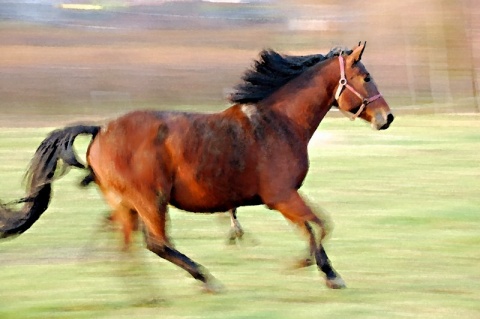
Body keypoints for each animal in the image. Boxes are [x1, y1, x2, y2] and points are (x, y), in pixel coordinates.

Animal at [0, 42, 394, 292]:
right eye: (366, 76)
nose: (386, 118)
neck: (277, 124)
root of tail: (101, 129)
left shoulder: (285, 198)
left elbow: (316, 226)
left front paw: (311, 265)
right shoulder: (282, 196)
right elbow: (319, 226)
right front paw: (323, 271)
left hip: (125, 205)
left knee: (127, 249)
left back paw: (148, 296)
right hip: (150, 200)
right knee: (157, 243)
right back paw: (207, 280)